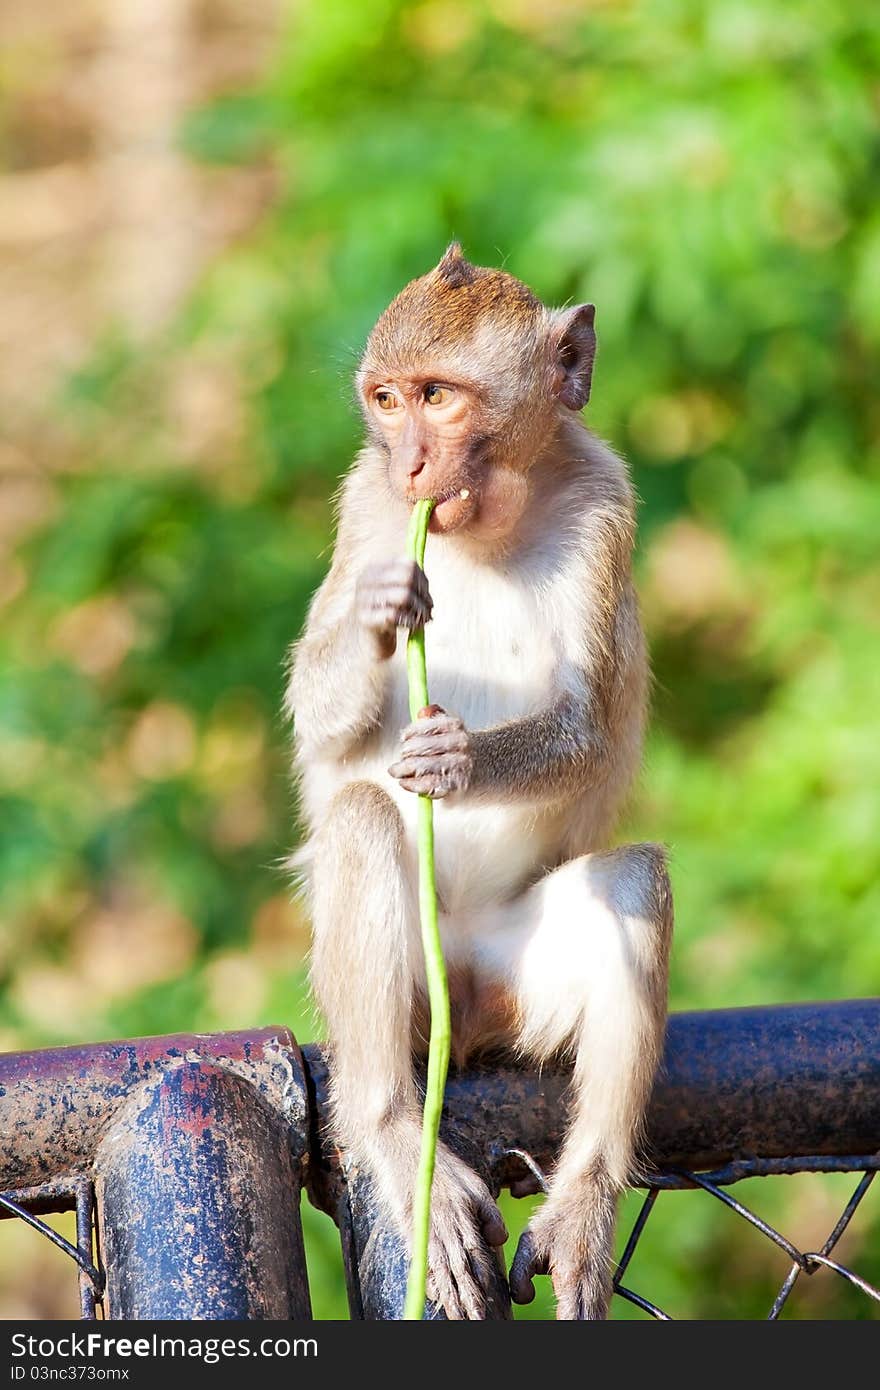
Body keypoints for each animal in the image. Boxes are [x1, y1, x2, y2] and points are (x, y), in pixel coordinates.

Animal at [284, 244, 670, 1317]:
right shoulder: (366, 507)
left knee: (634, 881)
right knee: (364, 821)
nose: (410, 461)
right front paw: (378, 613)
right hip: (402, 990)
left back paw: (585, 1196)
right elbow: (314, 710)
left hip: (516, 968)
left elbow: (588, 730)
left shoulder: (603, 504)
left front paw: (457, 761)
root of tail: (467, 992)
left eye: (439, 398)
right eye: (385, 399)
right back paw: (388, 1129)